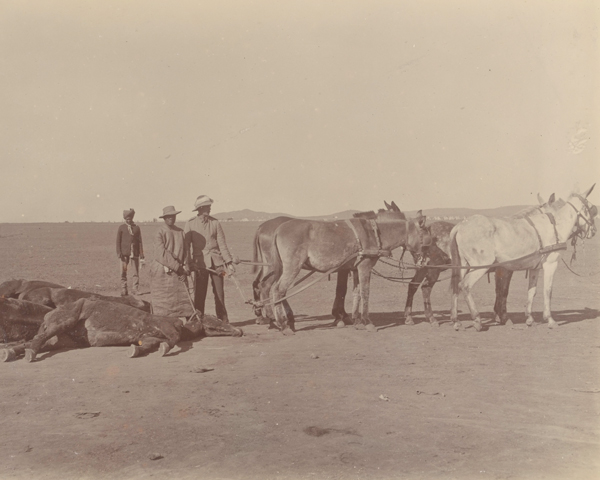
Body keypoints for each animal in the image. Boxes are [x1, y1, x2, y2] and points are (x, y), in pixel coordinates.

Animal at [1, 298, 244, 362]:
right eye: (214, 317)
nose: (239, 332)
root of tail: (48, 313)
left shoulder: (149, 335)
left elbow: (149, 344)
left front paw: (135, 350)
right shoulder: (165, 326)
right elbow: (172, 339)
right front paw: (166, 349)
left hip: (61, 340)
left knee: (32, 342)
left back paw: (10, 352)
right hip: (63, 322)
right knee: (38, 339)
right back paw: (29, 354)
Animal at [268, 208, 426, 336]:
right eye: (425, 236)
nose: (424, 261)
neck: (373, 233)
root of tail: (278, 229)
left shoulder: (355, 269)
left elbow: (357, 293)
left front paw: (357, 321)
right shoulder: (364, 267)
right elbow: (365, 292)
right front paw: (367, 322)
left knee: (279, 291)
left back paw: (285, 322)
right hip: (292, 267)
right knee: (278, 290)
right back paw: (284, 325)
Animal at [450, 186, 596, 332]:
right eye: (592, 208)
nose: (593, 231)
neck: (554, 227)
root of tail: (460, 225)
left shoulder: (534, 268)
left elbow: (532, 291)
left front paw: (529, 318)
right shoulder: (550, 264)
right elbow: (547, 291)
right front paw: (549, 319)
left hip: (462, 265)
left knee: (456, 286)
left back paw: (456, 320)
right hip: (480, 266)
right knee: (465, 285)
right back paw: (476, 319)